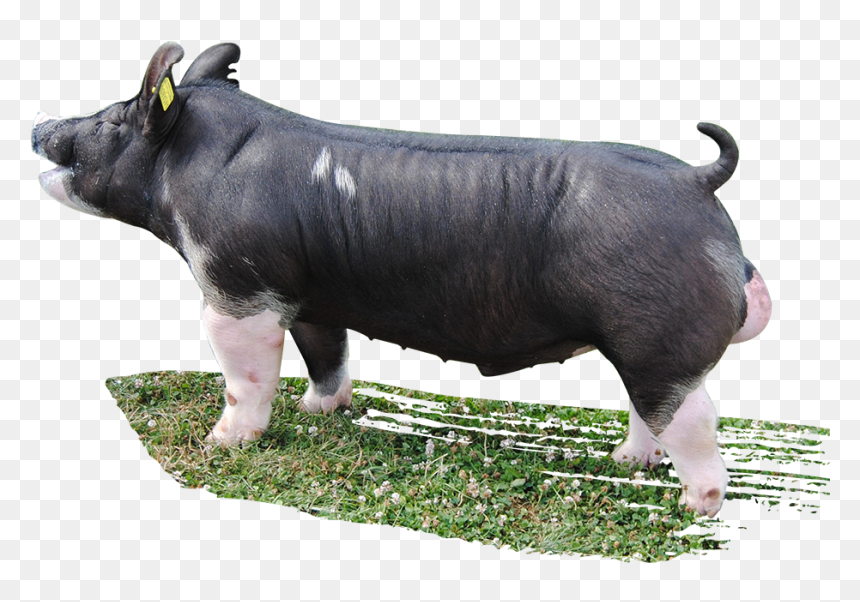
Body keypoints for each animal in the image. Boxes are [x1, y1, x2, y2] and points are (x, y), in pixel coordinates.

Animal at [32, 42, 771, 518]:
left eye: (112, 118)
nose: (40, 125)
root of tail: (696, 181)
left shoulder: (237, 289)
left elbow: (246, 377)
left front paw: (222, 445)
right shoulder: (310, 295)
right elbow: (325, 353)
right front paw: (318, 412)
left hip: (658, 332)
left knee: (693, 417)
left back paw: (697, 509)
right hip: (639, 343)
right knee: (651, 410)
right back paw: (627, 464)